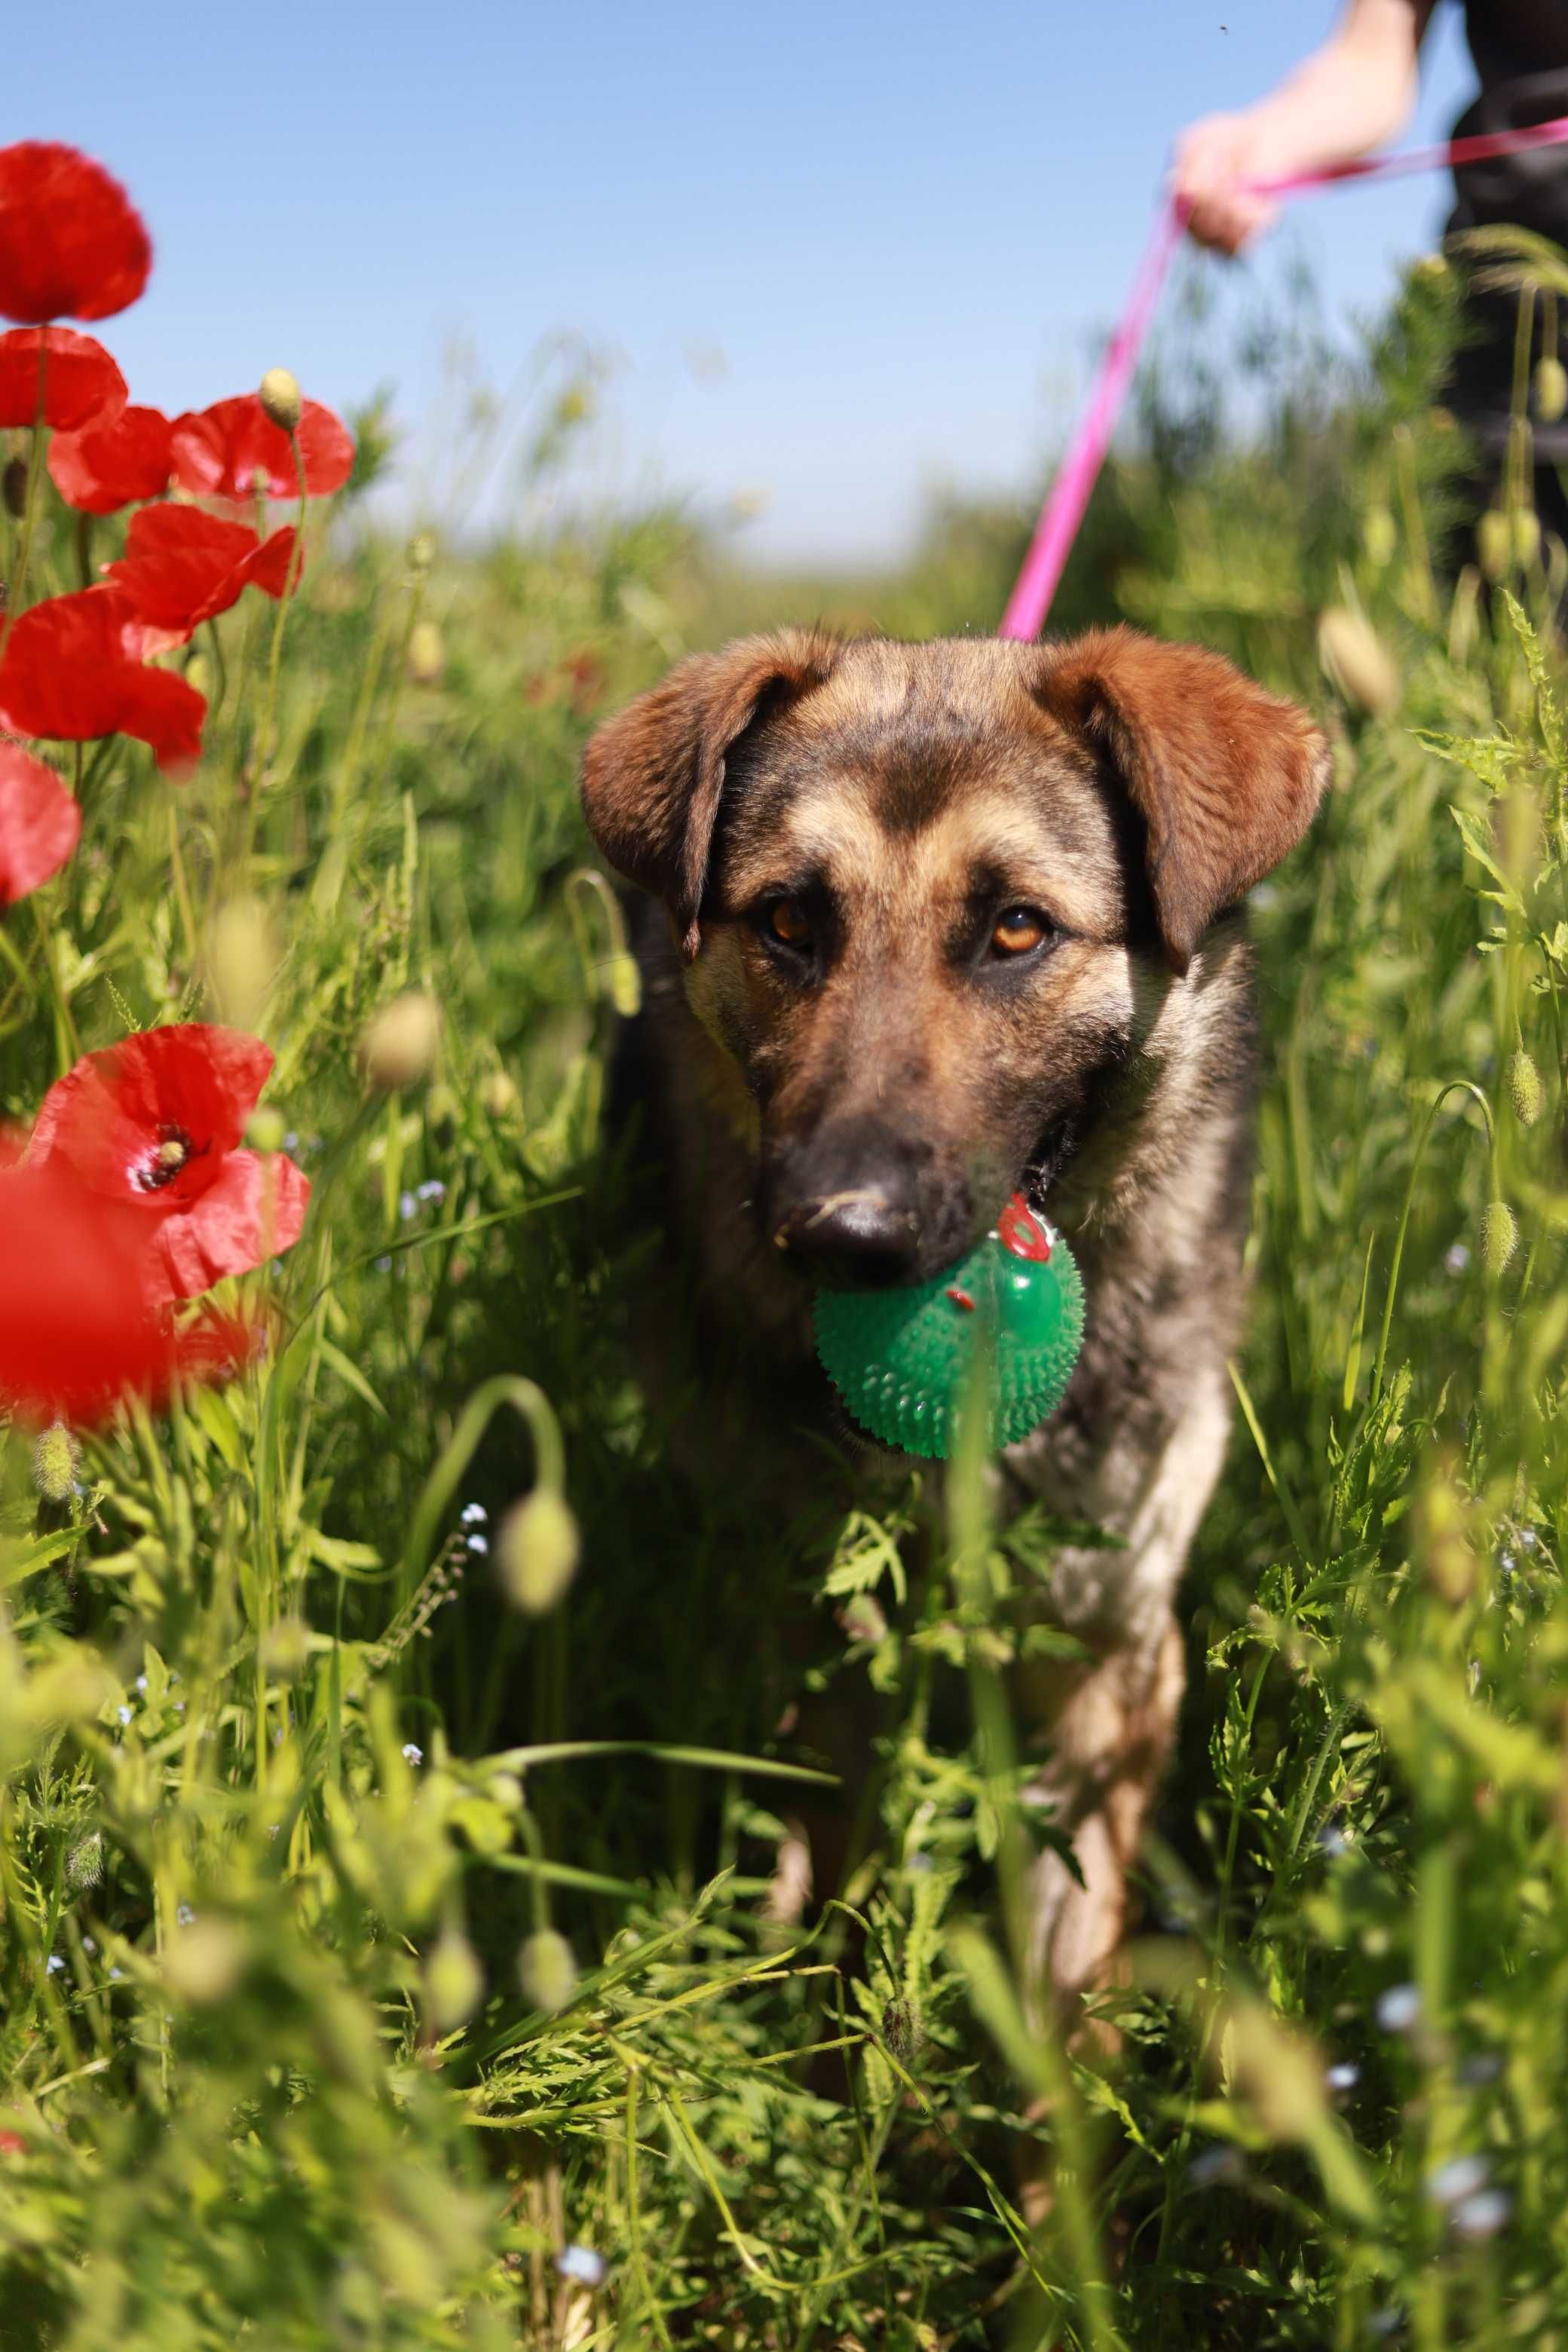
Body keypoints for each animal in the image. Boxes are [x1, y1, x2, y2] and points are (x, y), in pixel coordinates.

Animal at [576, 625, 1325, 2004]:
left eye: (1018, 930)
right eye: (789, 920)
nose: (840, 1234)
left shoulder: (1105, 1658)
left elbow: (1066, 1979)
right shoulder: (829, 1641)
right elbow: (838, 1870)